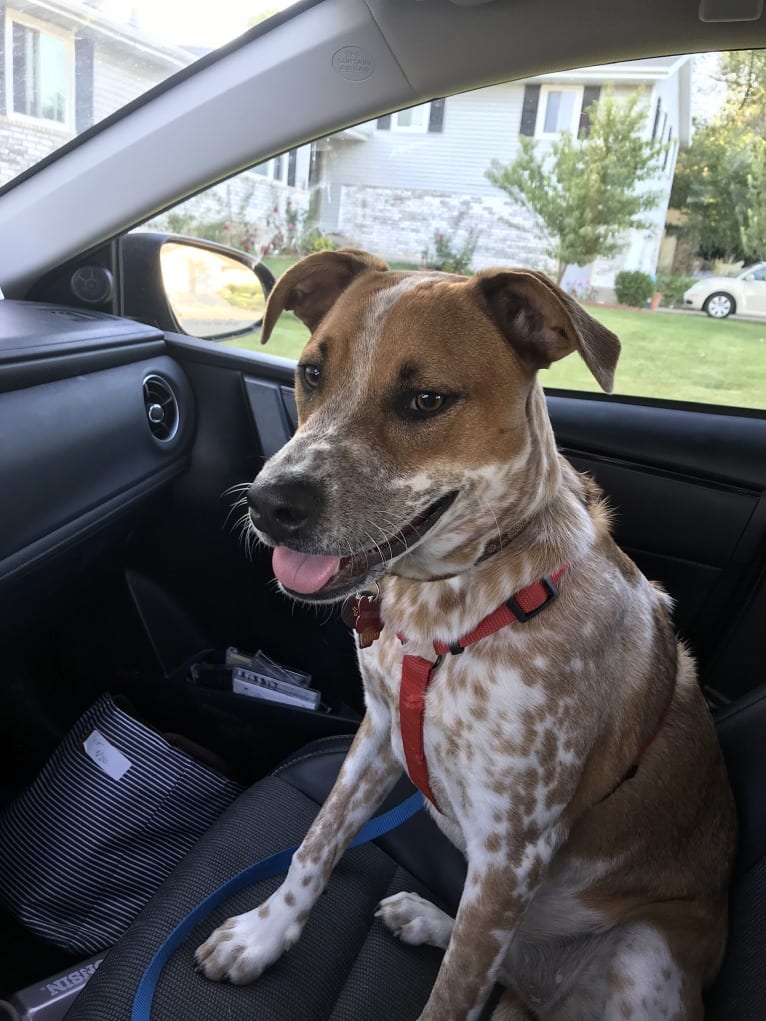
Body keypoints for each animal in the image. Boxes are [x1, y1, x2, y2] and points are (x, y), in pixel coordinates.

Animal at [196, 249, 739, 1021]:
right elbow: (316, 843)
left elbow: (451, 994)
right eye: (311, 372)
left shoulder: (511, 851)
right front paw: (264, 935)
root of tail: (537, 994)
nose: (270, 503)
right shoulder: (378, 730)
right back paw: (427, 917)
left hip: (643, 957)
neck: (452, 612)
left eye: (426, 400)